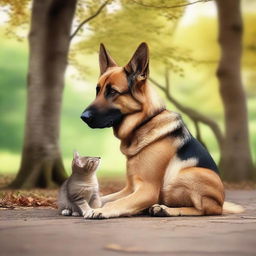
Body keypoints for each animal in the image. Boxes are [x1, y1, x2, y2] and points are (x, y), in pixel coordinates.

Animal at [81, 43, 243, 219]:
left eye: (112, 92)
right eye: (97, 90)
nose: (83, 117)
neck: (144, 122)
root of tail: (221, 203)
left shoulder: (147, 190)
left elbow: (115, 202)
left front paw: (101, 210)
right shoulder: (129, 188)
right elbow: (104, 198)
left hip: (187, 174)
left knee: (205, 209)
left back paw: (165, 209)